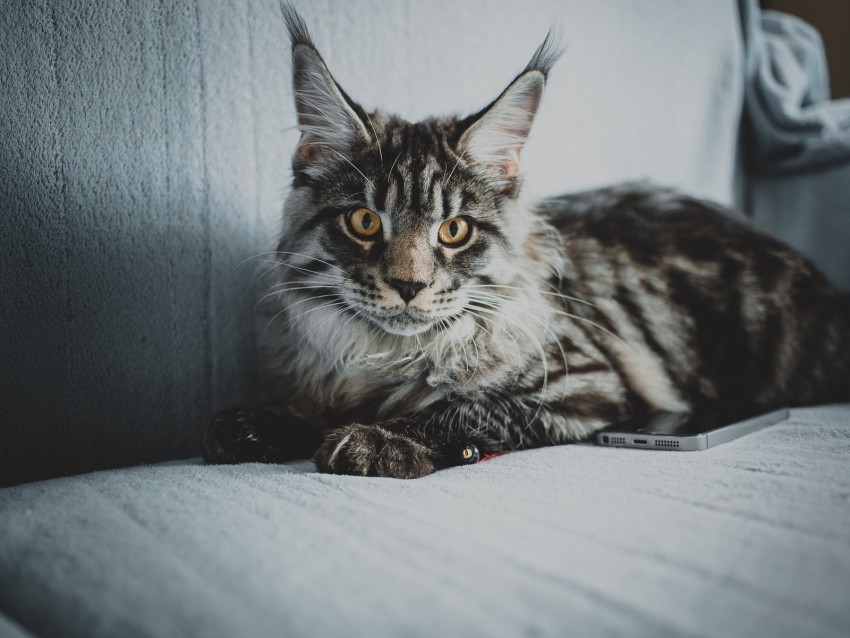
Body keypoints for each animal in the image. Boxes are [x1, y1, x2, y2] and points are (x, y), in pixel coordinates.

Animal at [200, 3, 848, 476]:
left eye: (454, 230)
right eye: (363, 222)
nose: (408, 286)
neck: (384, 354)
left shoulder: (583, 384)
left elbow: (461, 409)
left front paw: (374, 441)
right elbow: (312, 405)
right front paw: (258, 424)